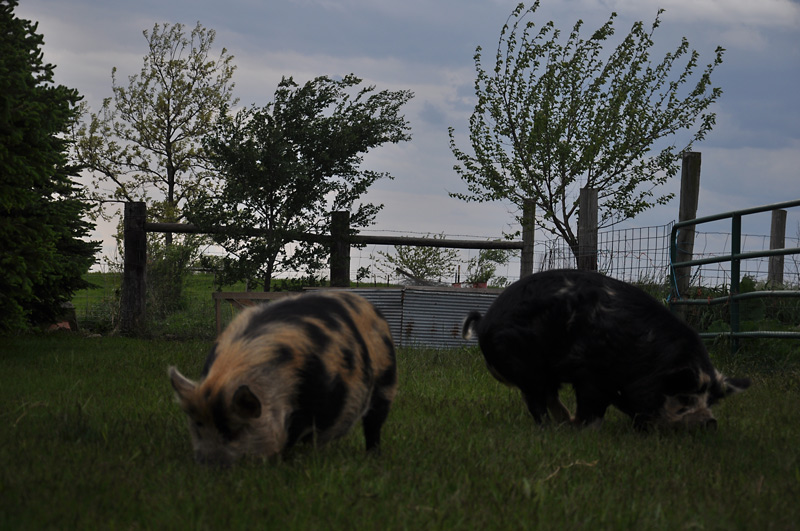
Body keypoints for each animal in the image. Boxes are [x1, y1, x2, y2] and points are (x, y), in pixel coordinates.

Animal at [168, 290, 397, 465]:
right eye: (197, 426)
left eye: (234, 431)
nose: (210, 465)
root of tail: (371, 307)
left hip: (386, 381)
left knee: (374, 422)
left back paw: (372, 456)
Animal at [462, 269, 750, 430]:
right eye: (685, 397)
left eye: (711, 400)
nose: (710, 422)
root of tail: (484, 322)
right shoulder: (591, 374)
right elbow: (593, 408)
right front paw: (585, 430)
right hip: (527, 365)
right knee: (536, 400)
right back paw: (552, 429)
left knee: (548, 395)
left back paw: (563, 423)